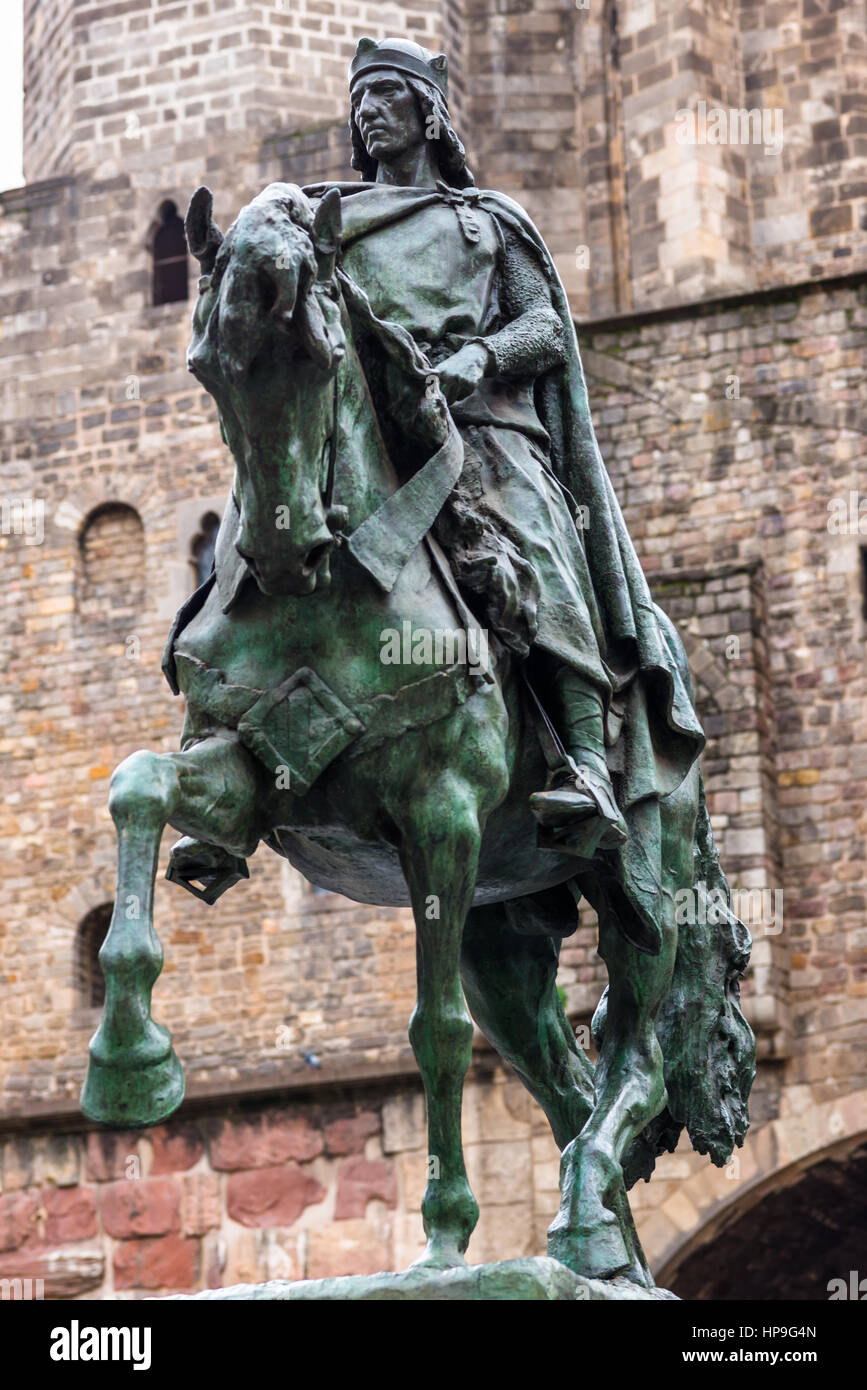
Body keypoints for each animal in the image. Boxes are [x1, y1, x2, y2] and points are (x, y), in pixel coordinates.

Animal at [83, 184, 755, 1289]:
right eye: (207, 364)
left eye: (320, 353)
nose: (281, 551)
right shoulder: (244, 772)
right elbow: (139, 784)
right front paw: (129, 1061)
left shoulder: (441, 815)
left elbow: (434, 1031)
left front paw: (444, 1233)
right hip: (503, 927)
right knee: (568, 1084)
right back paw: (606, 1245)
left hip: (643, 881)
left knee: (640, 1058)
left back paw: (586, 1221)